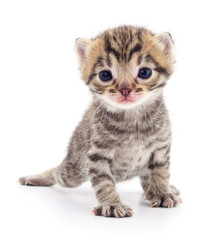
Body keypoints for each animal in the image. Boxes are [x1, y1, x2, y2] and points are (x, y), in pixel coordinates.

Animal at [19, 25, 181, 218]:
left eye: (144, 72)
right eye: (105, 75)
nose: (125, 89)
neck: (132, 119)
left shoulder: (161, 148)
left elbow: (161, 172)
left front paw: (162, 193)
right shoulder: (97, 155)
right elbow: (104, 182)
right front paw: (112, 204)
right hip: (73, 172)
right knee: (57, 173)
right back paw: (35, 177)